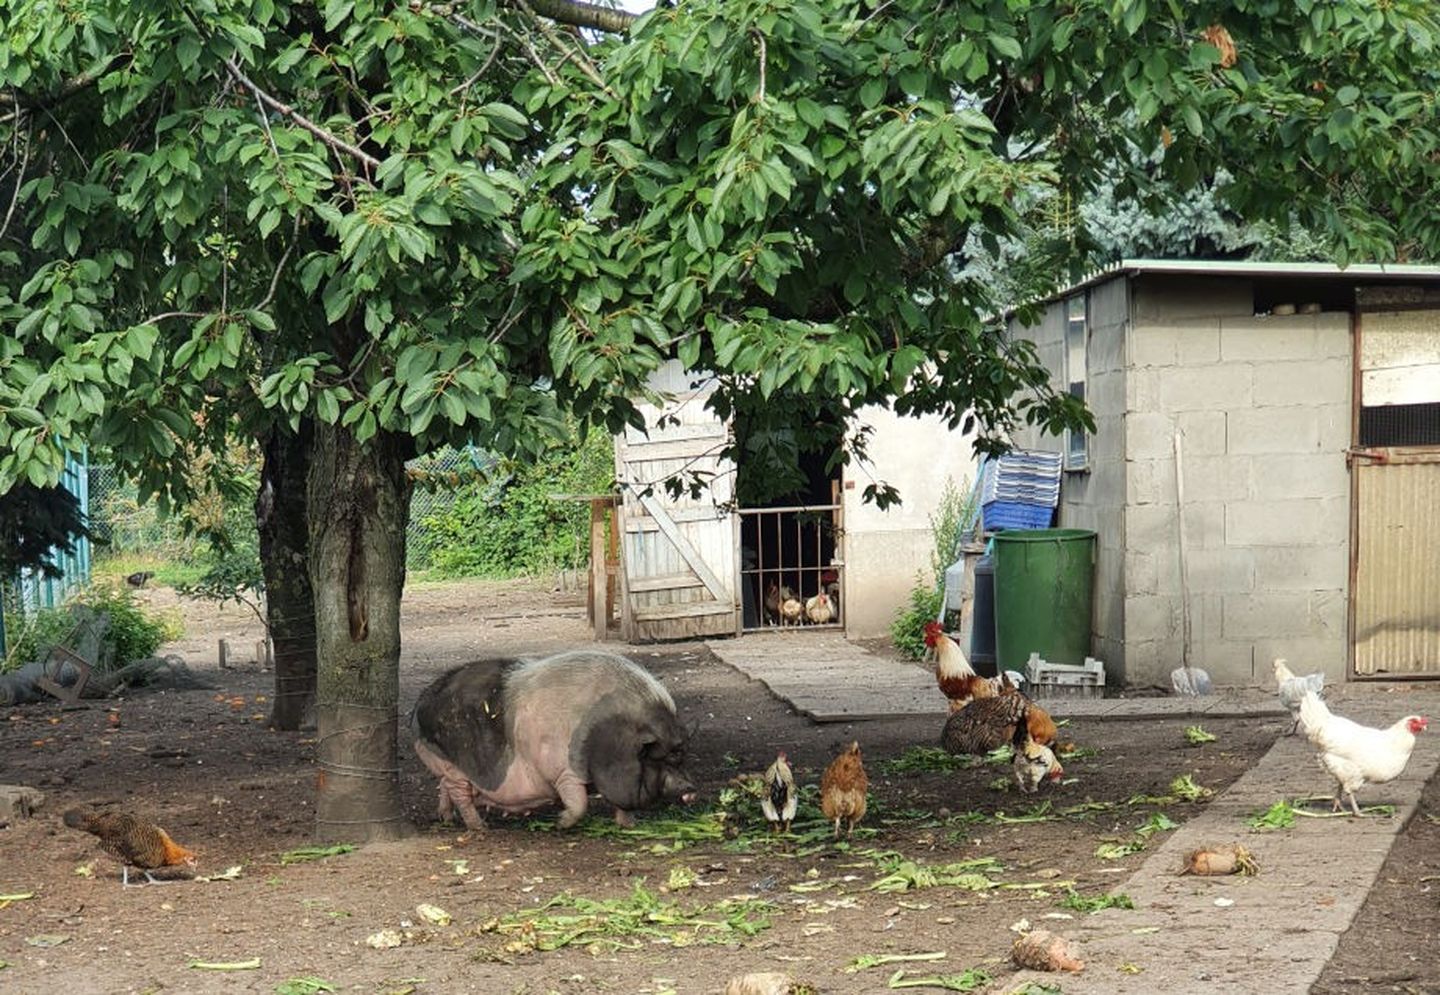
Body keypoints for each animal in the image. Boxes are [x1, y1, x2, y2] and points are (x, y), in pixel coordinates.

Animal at [411, 650, 696, 829]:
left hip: (449, 770)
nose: (691, 788)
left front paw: (630, 825)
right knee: (459, 794)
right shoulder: (563, 771)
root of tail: (419, 706)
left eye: (680, 755)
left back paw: (447, 819)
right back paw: (480, 828)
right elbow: (579, 803)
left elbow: (620, 803)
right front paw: (560, 823)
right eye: (662, 758)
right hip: (451, 764)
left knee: (445, 788)